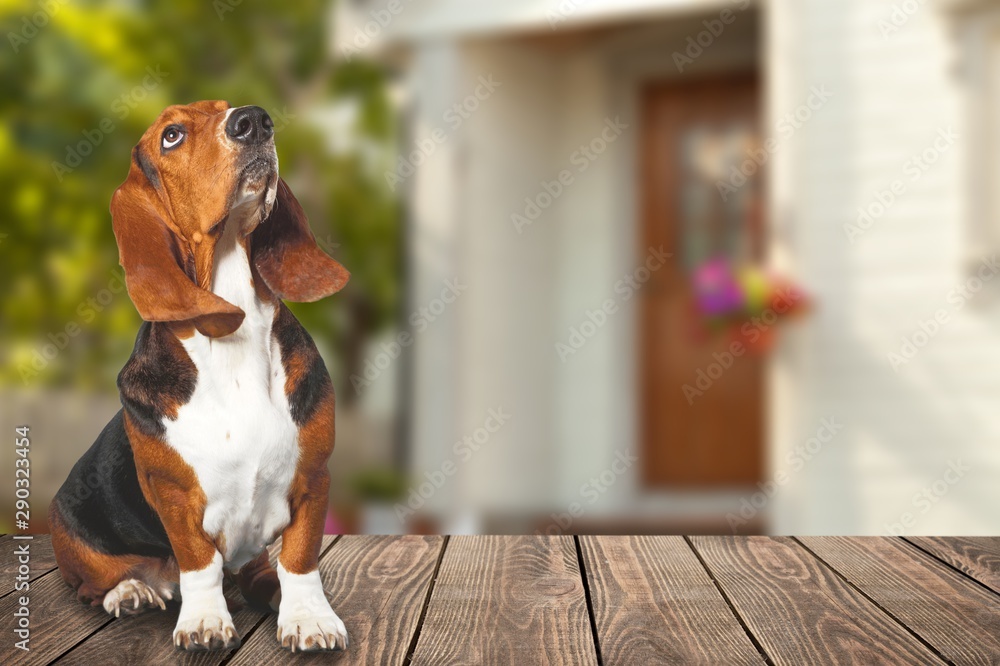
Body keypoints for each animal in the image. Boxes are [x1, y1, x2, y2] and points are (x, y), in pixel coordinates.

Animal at [48, 100, 352, 648]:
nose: (254, 120)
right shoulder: (175, 496)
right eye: (171, 135)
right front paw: (205, 620)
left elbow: (300, 559)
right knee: (93, 584)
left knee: (258, 571)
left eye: (231, 108)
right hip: (76, 537)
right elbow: (199, 563)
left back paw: (267, 589)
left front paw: (308, 617)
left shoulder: (314, 477)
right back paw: (130, 591)